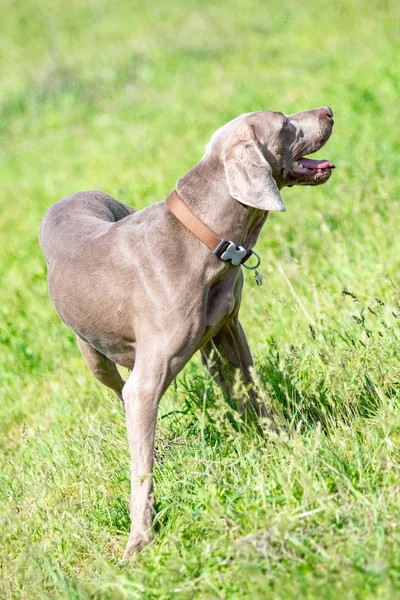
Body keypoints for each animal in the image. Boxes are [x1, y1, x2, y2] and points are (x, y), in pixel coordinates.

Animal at [39, 106, 334, 556]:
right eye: (284, 123)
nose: (329, 111)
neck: (206, 238)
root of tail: (65, 198)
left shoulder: (227, 331)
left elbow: (252, 392)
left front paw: (283, 443)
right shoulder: (147, 381)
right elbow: (141, 469)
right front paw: (140, 540)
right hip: (92, 355)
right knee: (119, 395)